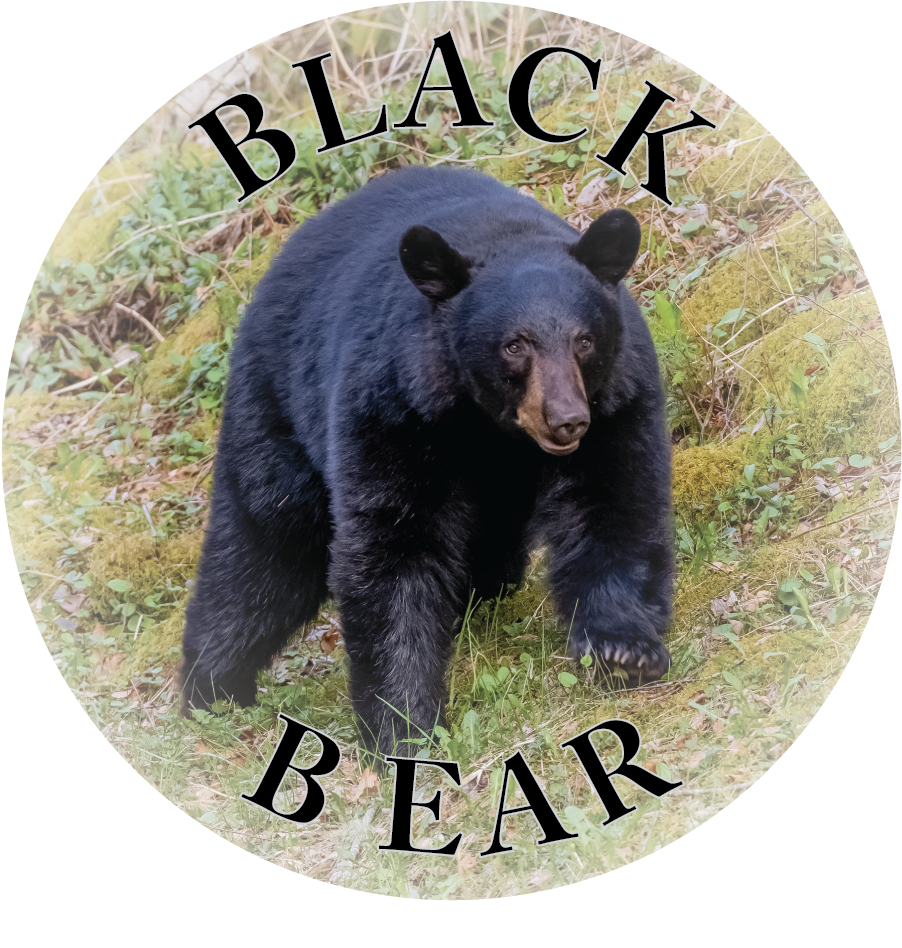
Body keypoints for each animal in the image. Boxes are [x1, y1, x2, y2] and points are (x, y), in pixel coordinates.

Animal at [180, 165, 673, 757]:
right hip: (277, 406)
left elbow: (614, 499)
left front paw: (623, 650)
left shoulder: (618, 399)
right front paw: (404, 723)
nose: (567, 420)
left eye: (584, 340)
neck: (490, 426)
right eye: (513, 345)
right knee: (265, 547)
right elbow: (395, 544)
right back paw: (212, 687)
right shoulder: (395, 407)